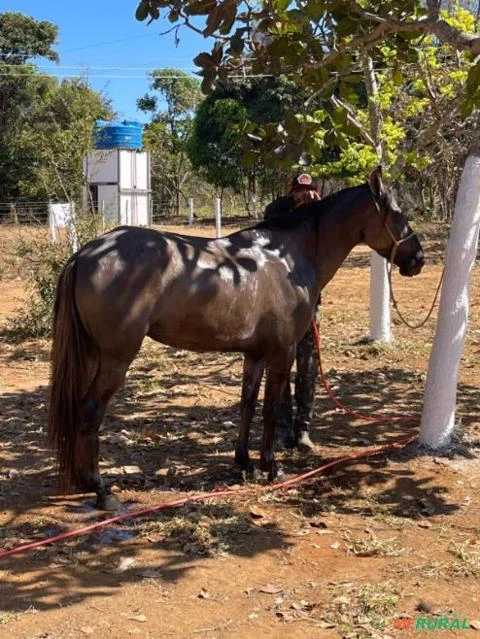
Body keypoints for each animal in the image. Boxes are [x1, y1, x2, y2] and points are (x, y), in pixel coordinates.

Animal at [47, 170, 424, 510]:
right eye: (398, 213)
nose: (418, 259)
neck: (290, 255)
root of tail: (85, 254)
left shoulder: (254, 354)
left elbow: (247, 405)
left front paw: (244, 465)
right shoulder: (282, 351)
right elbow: (271, 408)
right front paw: (271, 467)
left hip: (93, 355)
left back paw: (82, 480)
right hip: (116, 358)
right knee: (90, 411)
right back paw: (101, 490)